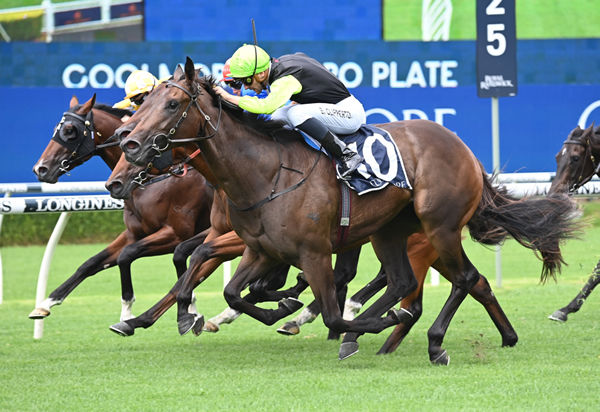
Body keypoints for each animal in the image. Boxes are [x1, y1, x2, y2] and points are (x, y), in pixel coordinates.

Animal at [29, 95, 213, 324]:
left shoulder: (176, 234)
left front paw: (127, 312)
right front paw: (46, 303)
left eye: (70, 130)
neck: (154, 178)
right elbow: (91, 263)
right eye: (57, 128)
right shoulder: (133, 233)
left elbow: (126, 255)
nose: (40, 168)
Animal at [116, 58, 576, 364]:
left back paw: (429, 340)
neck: (266, 172)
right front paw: (272, 309)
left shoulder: (314, 253)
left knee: (459, 279)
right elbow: (232, 290)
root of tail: (464, 148)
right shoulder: (260, 249)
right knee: (422, 282)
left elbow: (333, 315)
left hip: (439, 228)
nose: (129, 144)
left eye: (172, 105)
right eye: (145, 103)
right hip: (392, 232)